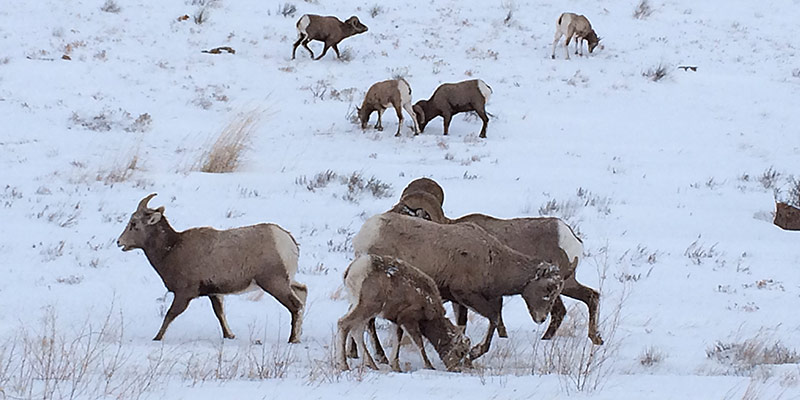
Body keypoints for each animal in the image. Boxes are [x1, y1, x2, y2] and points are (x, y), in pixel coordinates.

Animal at [117, 192, 308, 342]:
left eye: (134, 225)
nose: (119, 242)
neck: (171, 250)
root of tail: (287, 241)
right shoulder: (214, 293)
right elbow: (220, 314)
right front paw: (229, 336)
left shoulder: (184, 294)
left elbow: (170, 315)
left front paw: (156, 338)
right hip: (287, 280)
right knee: (302, 292)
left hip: (274, 283)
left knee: (295, 306)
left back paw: (292, 340)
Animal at [350, 212, 564, 360]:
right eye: (548, 288)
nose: (541, 318)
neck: (494, 261)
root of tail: (365, 235)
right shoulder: (465, 295)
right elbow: (494, 318)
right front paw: (476, 352)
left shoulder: (461, 301)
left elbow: (464, 325)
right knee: (367, 322)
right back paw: (380, 357)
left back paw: (355, 354)